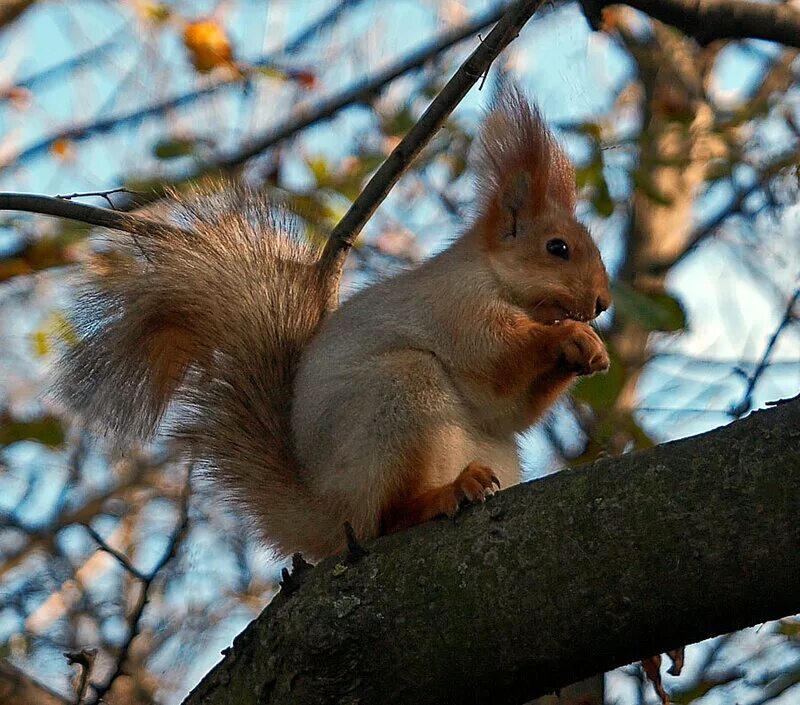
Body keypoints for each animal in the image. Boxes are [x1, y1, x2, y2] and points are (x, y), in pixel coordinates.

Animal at [53, 88, 608, 560]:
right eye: (557, 248)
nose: (602, 302)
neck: (494, 275)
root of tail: (329, 515)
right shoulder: (459, 308)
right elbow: (497, 360)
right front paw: (570, 336)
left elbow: (509, 409)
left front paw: (591, 352)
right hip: (401, 397)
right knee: (386, 517)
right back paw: (443, 494)